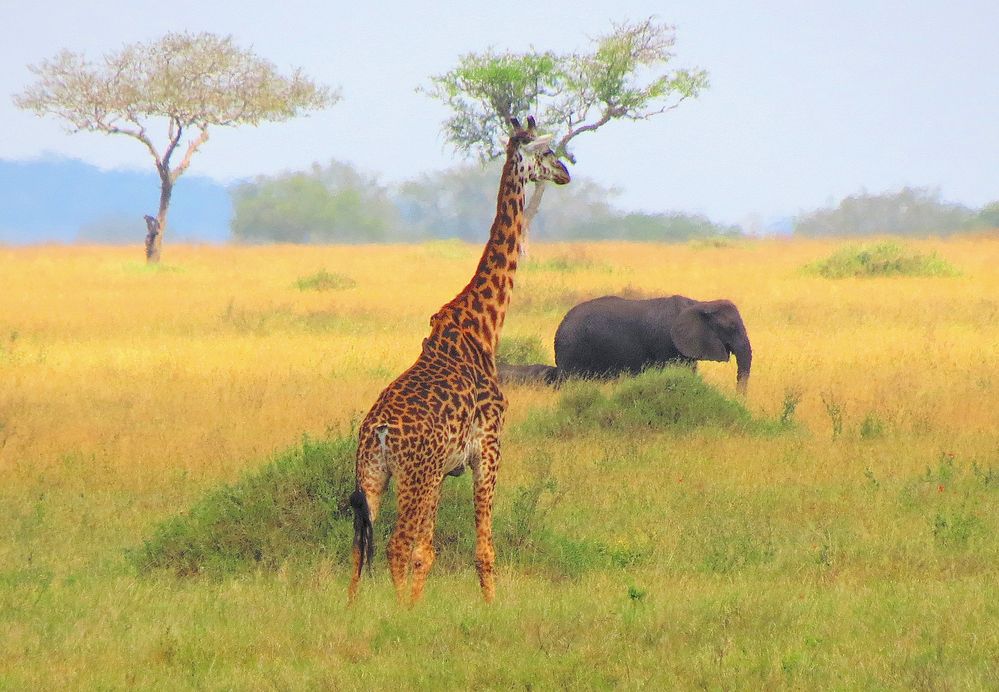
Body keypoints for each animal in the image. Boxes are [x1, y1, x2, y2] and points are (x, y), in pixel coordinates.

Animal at [350, 116, 572, 604]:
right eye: (547, 153)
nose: (566, 173)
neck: (482, 326)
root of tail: (378, 432)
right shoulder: (487, 448)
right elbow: (482, 551)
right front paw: (491, 608)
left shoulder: (447, 469)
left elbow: (428, 553)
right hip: (416, 476)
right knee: (395, 545)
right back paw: (397, 614)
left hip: (374, 476)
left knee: (360, 551)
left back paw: (357, 611)